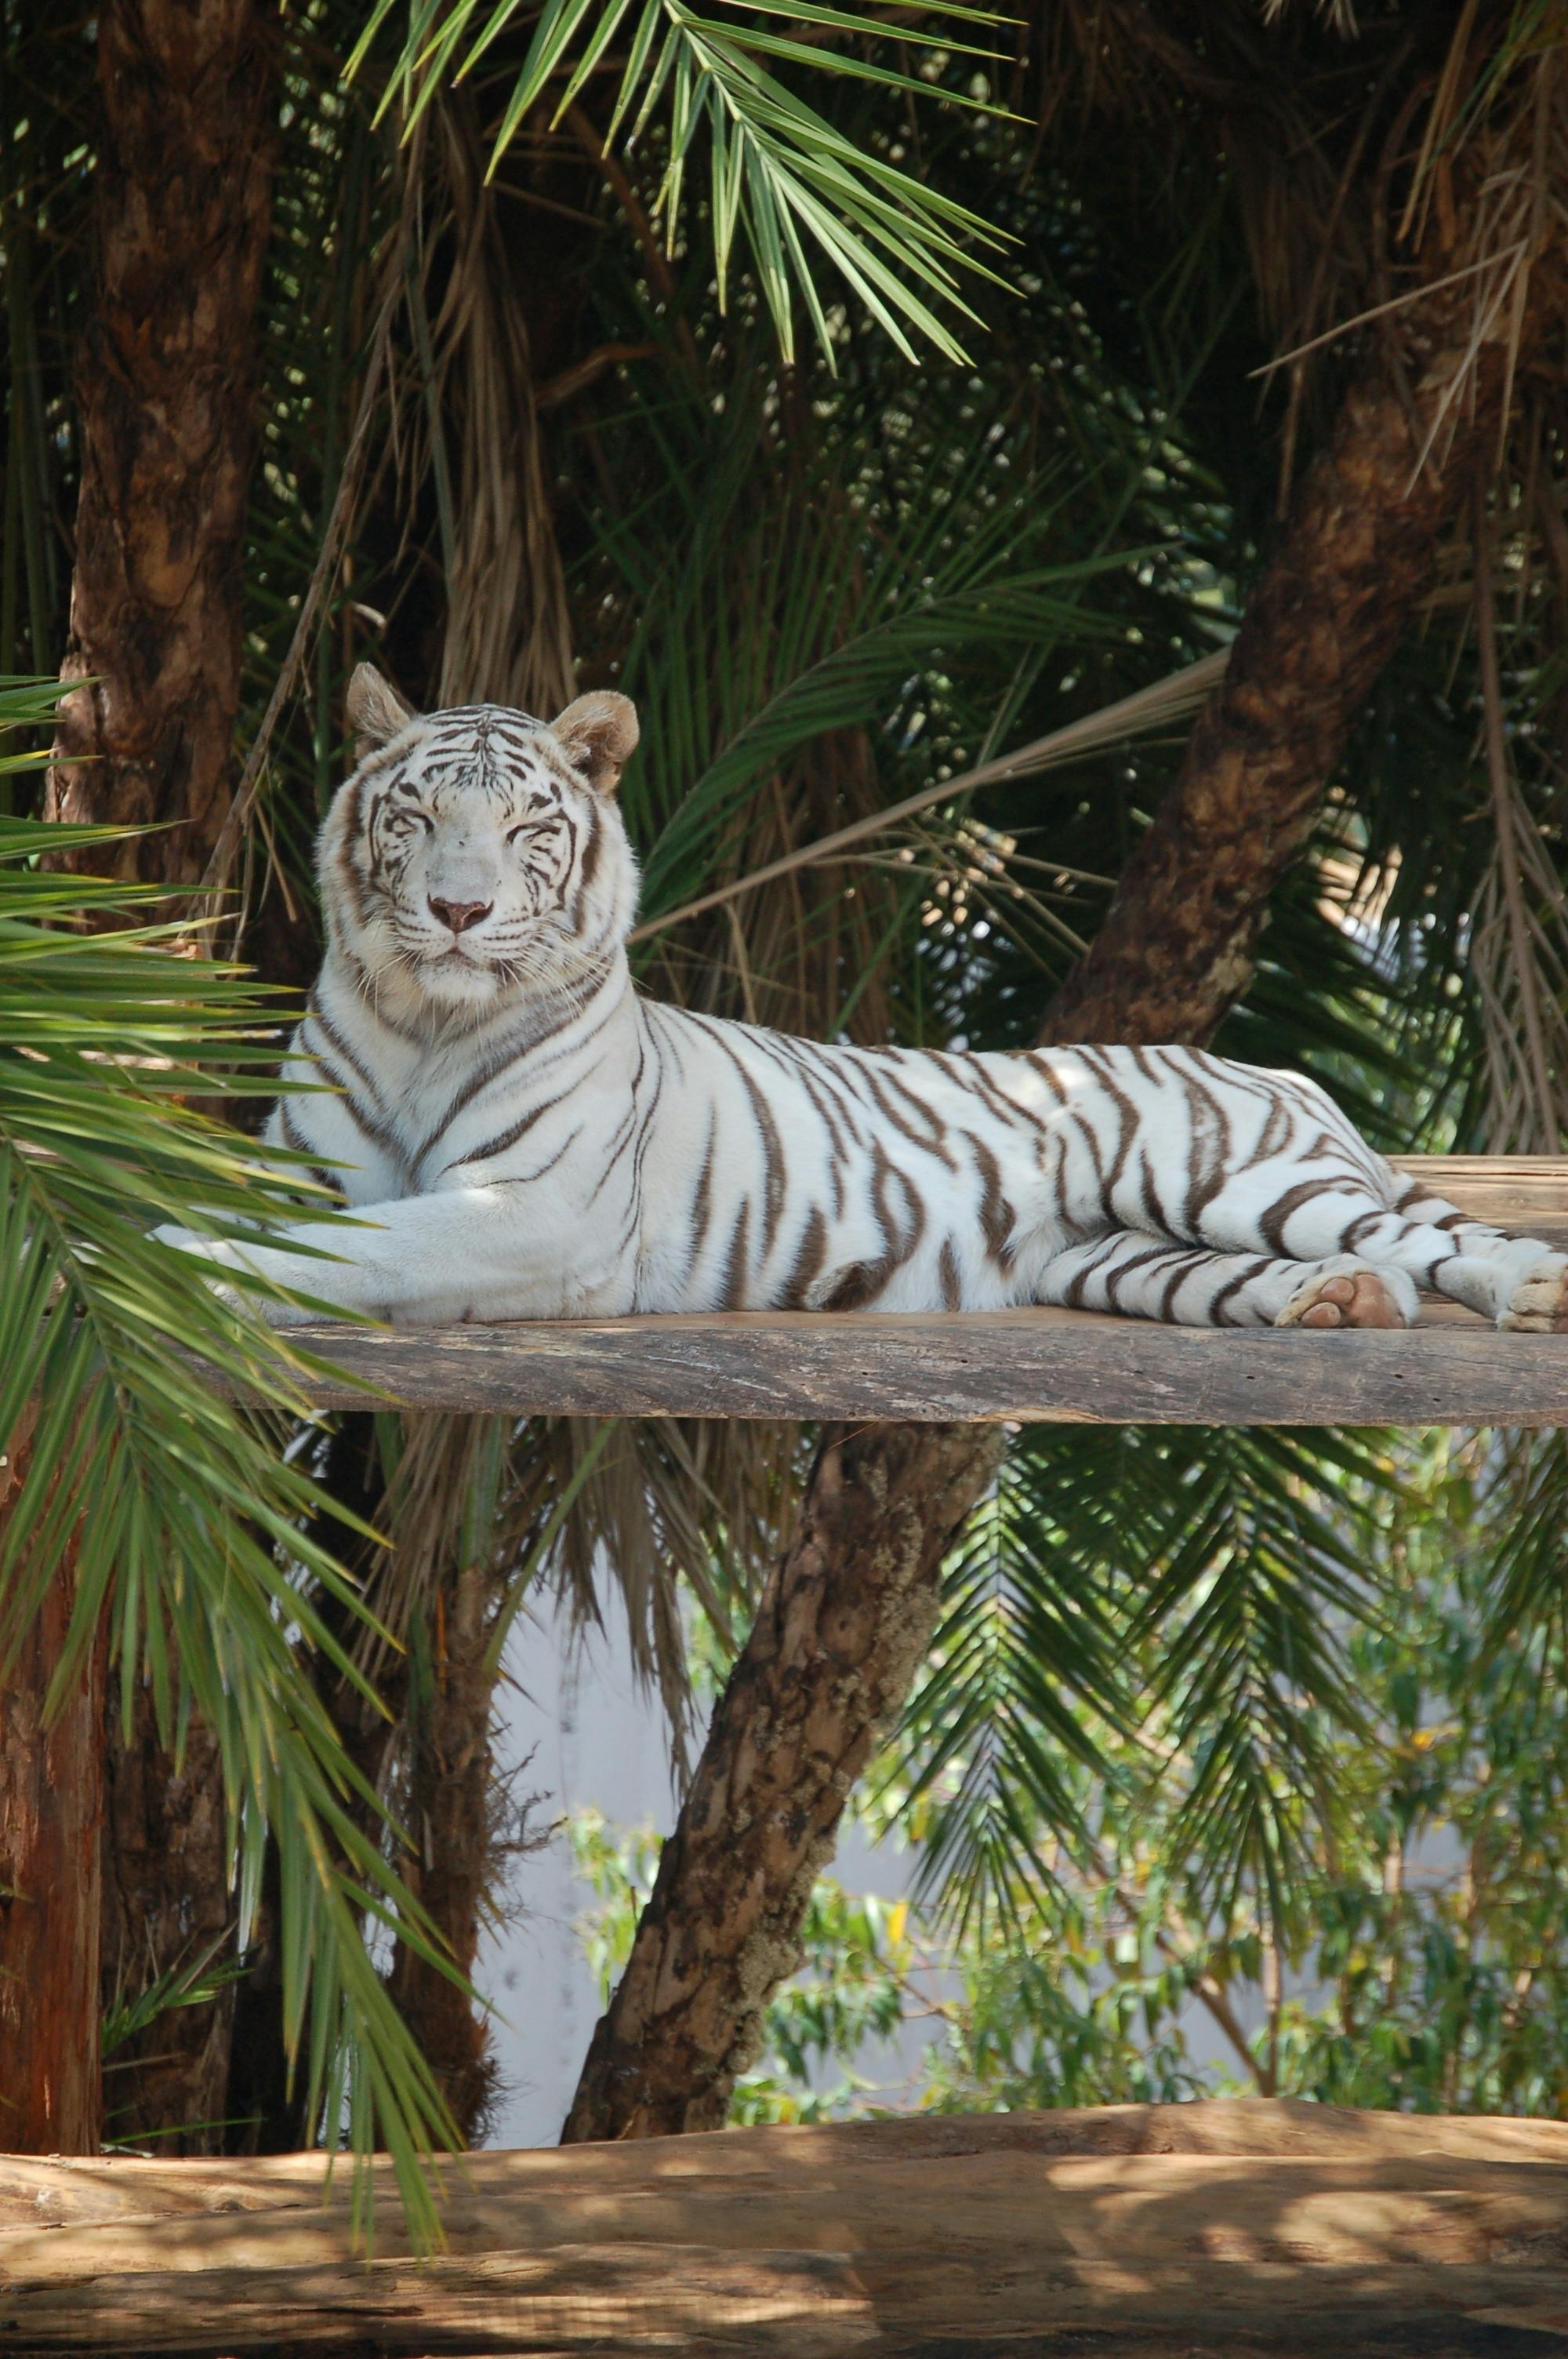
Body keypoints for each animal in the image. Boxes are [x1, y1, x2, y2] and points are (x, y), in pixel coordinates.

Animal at [159, 663, 1568, 1338]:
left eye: (521, 830)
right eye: (417, 818)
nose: (457, 910)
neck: (428, 1022)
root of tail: (1277, 1071)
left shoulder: (540, 1211)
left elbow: (365, 1246)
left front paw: (184, 1275)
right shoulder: (306, 1162)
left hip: (1230, 1173)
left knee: (1439, 1246)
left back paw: (1524, 1294)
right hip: (1115, 1253)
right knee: (1350, 1276)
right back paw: (1330, 1304)